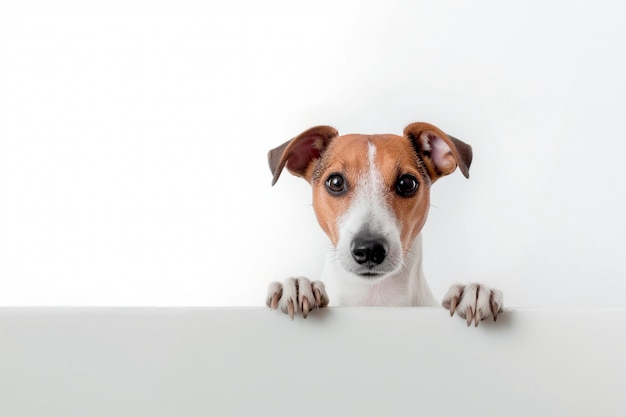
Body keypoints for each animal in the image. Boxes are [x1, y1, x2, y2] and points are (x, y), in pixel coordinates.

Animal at [264, 120, 502, 324]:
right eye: (336, 182)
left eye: (407, 183)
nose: (369, 249)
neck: (374, 298)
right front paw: (297, 285)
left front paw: (475, 292)